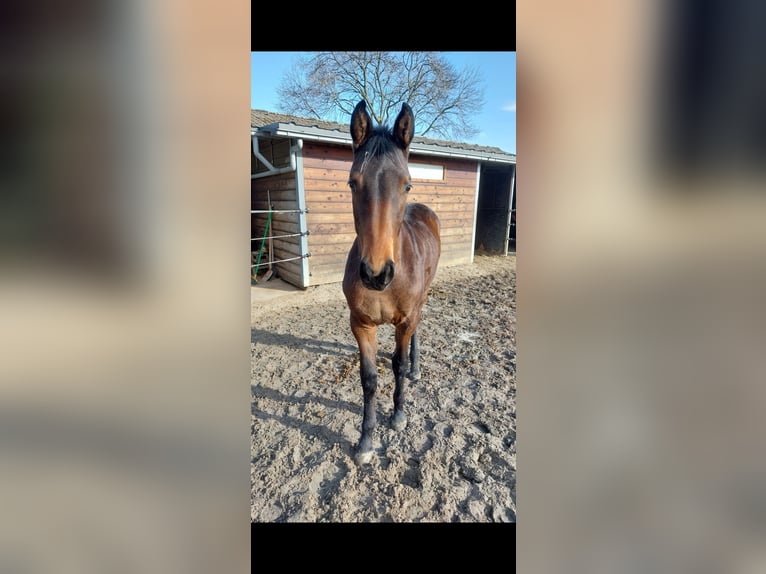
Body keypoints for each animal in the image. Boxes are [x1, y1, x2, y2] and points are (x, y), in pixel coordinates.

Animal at [342, 100, 441, 465]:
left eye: (407, 184)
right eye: (353, 182)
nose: (376, 274)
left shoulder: (404, 318)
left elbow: (396, 366)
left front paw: (398, 416)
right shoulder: (361, 324)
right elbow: (369, 379)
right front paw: (365, 442)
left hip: (421, 301)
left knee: (416, 331)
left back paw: (416, 368)